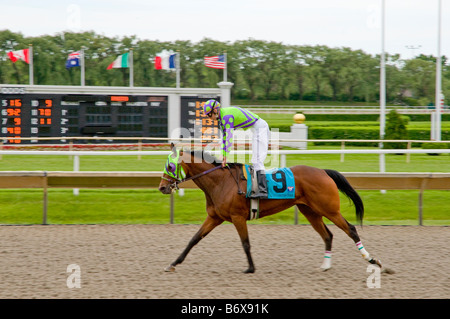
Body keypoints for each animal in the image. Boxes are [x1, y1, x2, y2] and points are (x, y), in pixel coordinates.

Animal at [156, 144, 382, 274]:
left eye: (170, 166)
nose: (162, 187)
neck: (220, 182)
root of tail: (323, 172)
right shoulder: (214, 217)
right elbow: (193, 239)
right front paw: (173, 263)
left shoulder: (237, 217)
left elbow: (245, 243)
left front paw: (250, 268)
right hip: (310, 211)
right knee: (328, 235)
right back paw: (326, 266)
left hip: (330, 210)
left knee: (350, 229)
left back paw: (372, 260)